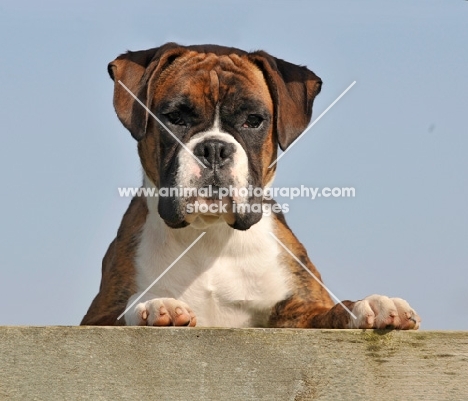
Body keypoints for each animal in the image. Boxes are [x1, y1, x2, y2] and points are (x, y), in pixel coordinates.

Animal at [81, 43, 420, 328]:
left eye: (253, 120)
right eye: (174, 117)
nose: (214, 148)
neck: (211, 235)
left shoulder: (298, 312)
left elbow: (331, 311)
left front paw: (369, 305)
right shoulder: (96, 317)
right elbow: (125, 311)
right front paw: (152, 305)